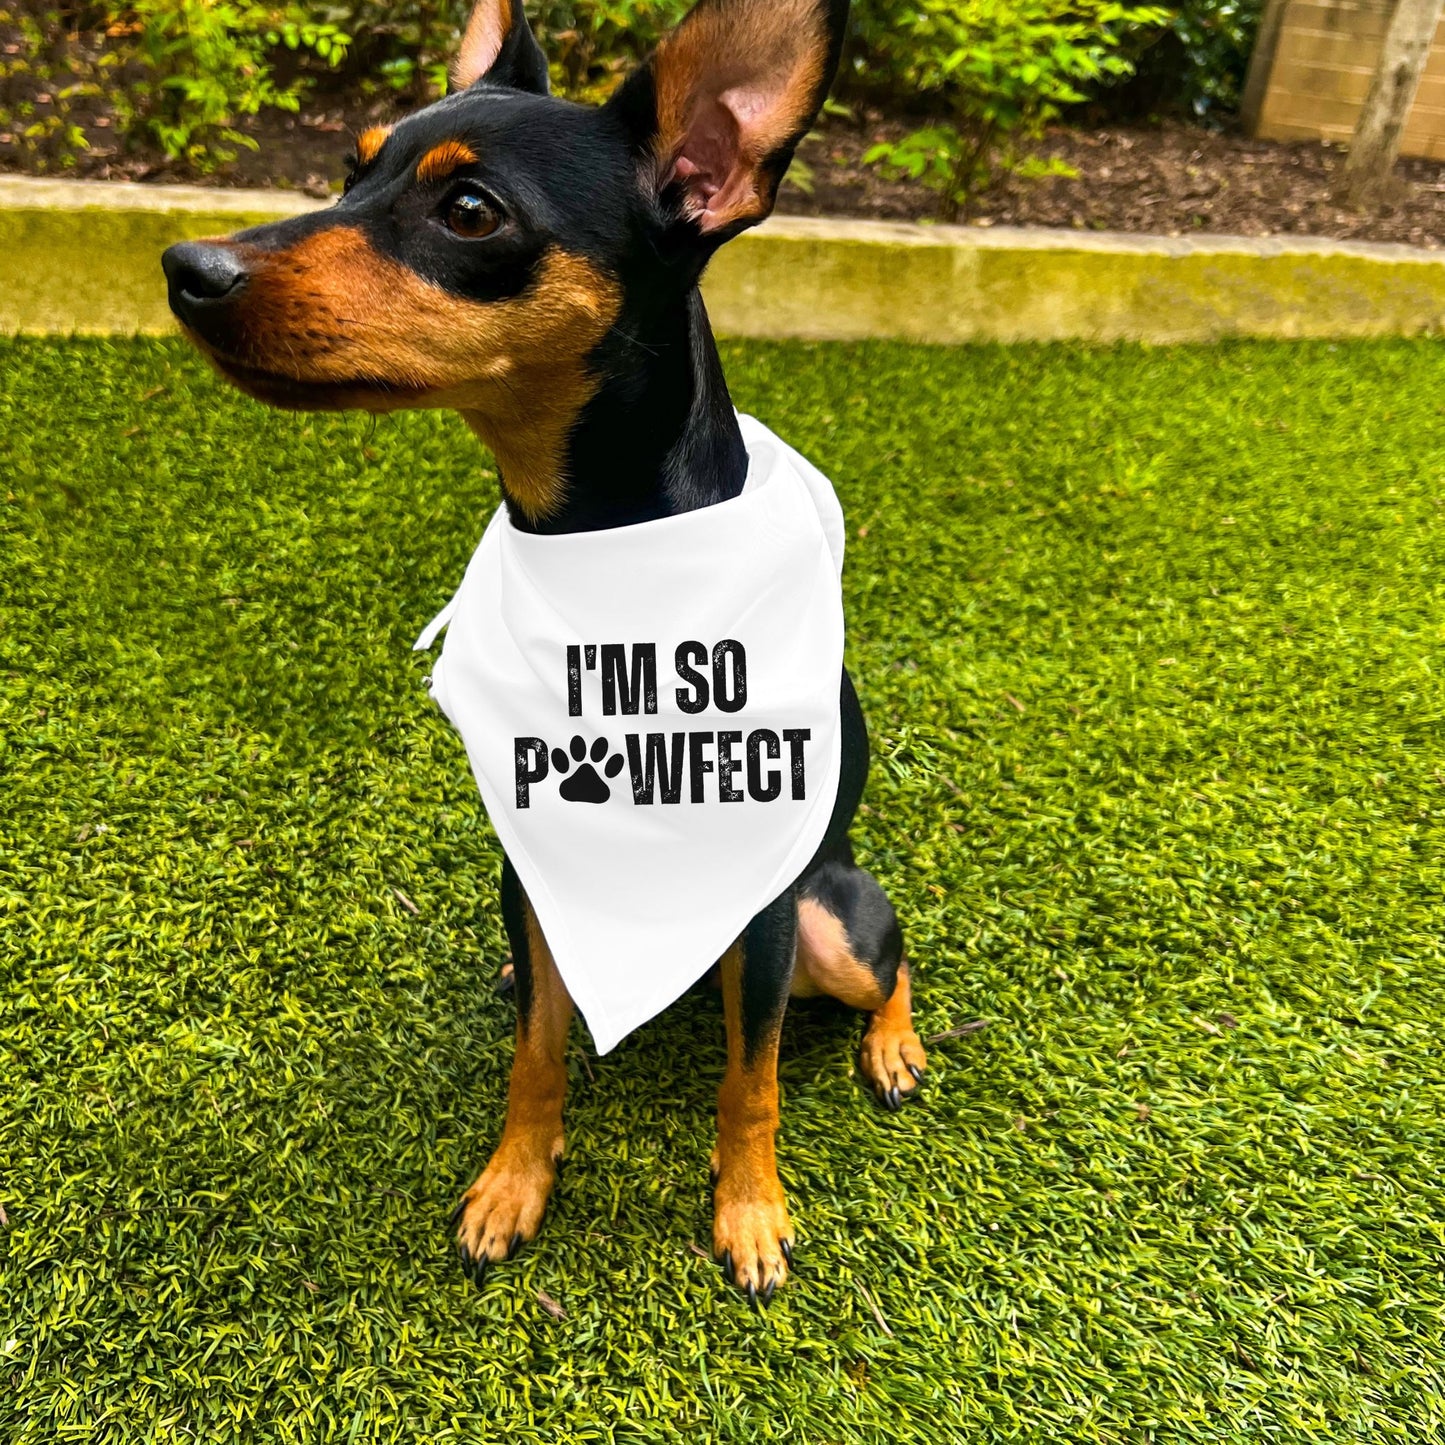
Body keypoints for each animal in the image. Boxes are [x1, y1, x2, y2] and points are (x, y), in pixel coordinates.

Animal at [161, 0, 924, 1306]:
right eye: (348, 170)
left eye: (471, 212)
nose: (186, 268)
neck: (599, 562)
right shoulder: (526, 859)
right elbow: (536, 1056)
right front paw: (514, 1180)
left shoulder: (766, 907)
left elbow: (752, 1080)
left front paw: (750, 1211)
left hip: (832, 919)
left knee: (891, 962)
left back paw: (894, 1045)